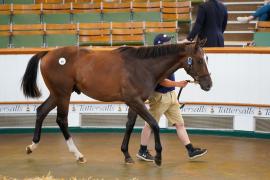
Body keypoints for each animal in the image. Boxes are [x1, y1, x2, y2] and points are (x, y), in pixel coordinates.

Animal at [20, 39, 211, 166]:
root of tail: (48, 53)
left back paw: (32, 146)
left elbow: (129, 125)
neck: (142, 66)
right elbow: (153, 124)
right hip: (63, 94)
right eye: (200, 60)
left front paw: (126, 154)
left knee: (41, 111)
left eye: (206, 59)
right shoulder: (135, 101)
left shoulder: (135, 103)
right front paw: (157, 156)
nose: (208, 84)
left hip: (57, 94)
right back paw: (78, 154)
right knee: (61, 120)